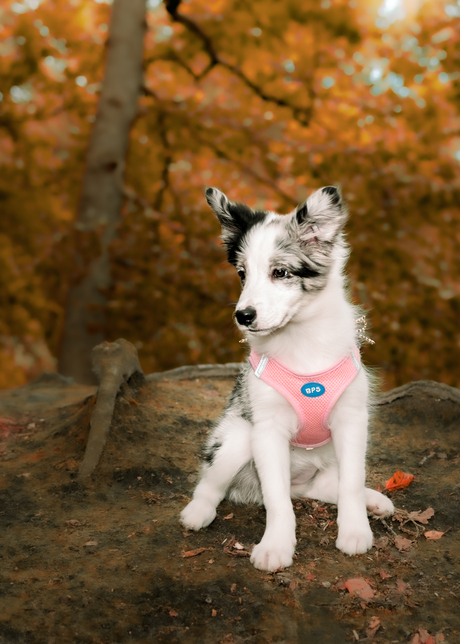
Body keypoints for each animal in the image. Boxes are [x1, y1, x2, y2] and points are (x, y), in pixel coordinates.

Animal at [180, 184, 392, 572]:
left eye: (280, 272)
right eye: (242, 274)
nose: (243, 316)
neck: (301, 339)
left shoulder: (352, 420)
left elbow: (351, 483)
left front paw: (355, 530)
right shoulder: (267, 428)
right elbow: (277, 499)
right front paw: (276, 546)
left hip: (326, 459)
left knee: (327, 487)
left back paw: (374, 501)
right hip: (236, 436)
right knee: (211, 483)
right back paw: (197, 512)